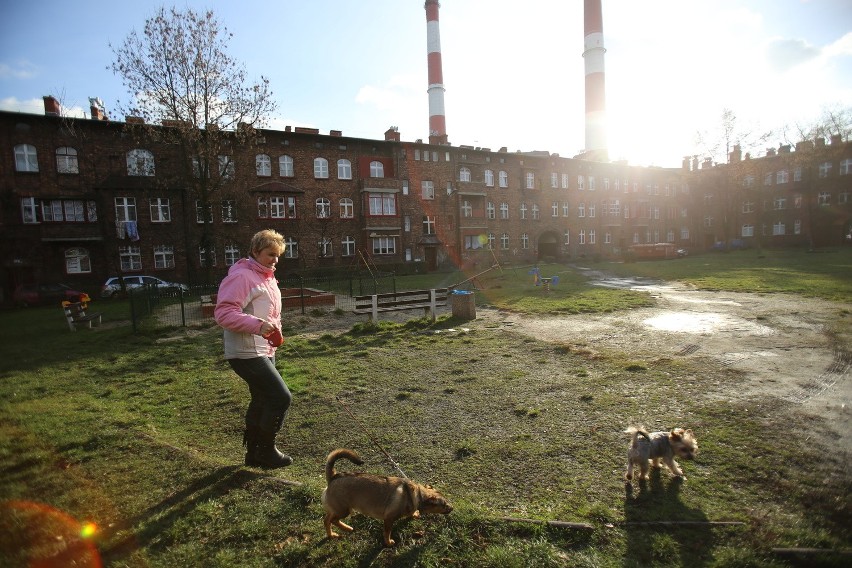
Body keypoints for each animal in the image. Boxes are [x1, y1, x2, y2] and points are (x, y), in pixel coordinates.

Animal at [320, 448, 452, 544]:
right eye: (444, 505)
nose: (452, 507)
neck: (418, 494)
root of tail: (333, 477)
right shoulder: (388, 519)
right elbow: (387, 533)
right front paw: (388, 543)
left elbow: (411, 513)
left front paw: (414, 514)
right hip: (343, 510)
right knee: (333, 520)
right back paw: (347, 528)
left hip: (336, 509)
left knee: (327, 520)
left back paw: (331, 535)